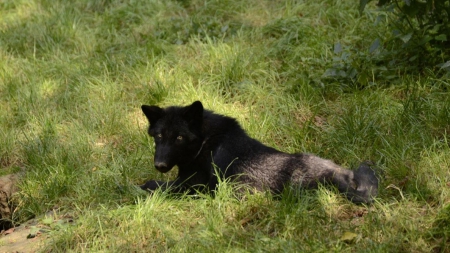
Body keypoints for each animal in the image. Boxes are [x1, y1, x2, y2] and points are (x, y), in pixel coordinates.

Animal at [139, 101, 378, 204]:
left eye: (179, 138)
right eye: (158, 136)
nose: (159, 165)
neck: (206, 143)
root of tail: (334, 177)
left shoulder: (194, 185)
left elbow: (152, 185)